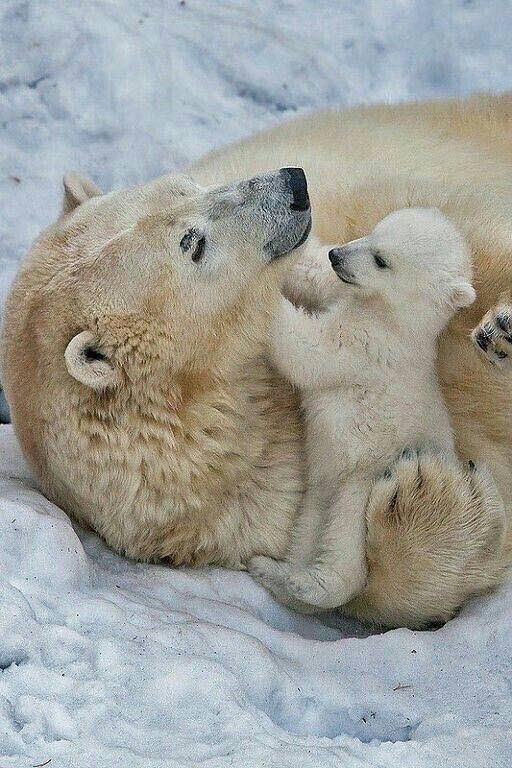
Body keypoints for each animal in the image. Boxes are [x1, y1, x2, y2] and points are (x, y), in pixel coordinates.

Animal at [251, 208, 504, 612]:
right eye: (372, 233)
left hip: (368, 478)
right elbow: (313, 275)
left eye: (381, 260)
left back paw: (302, 581)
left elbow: (312, 352)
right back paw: (280, 572)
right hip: (325, 488)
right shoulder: (345, 292)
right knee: (309, 527)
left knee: (344, 549)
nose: (337, 255)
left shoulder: (371, 346)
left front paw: (262, 291)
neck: (395, 318)